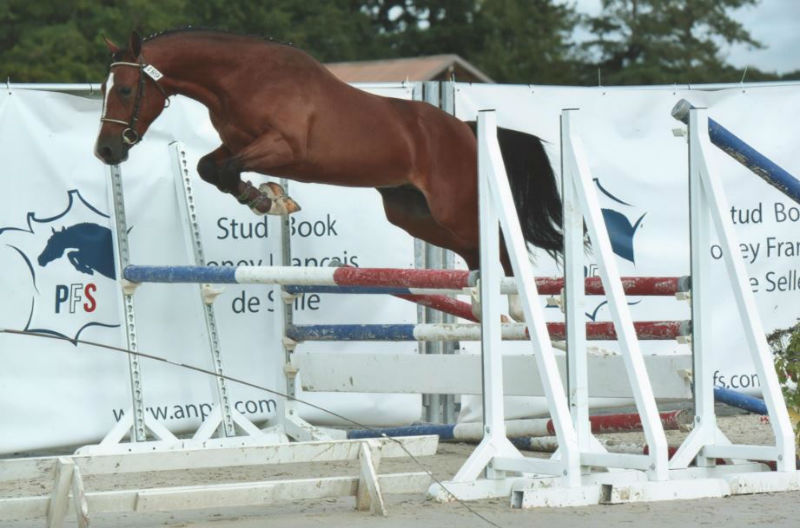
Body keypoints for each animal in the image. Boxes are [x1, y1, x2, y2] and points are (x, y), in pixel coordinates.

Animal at [95, 31, 564, 318]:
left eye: (125, 90)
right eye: (103, 89)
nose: (106, 151)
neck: (244, 79)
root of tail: (464, 128)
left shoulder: (285, 148)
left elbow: (226, 169)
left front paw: (270, 199)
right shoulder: (237, 144)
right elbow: (211, 168)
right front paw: (265, 198)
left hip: (454, 206)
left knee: (497, 241)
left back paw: (517, 306)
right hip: (413, 214)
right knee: (473, 251)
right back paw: (483, 301)